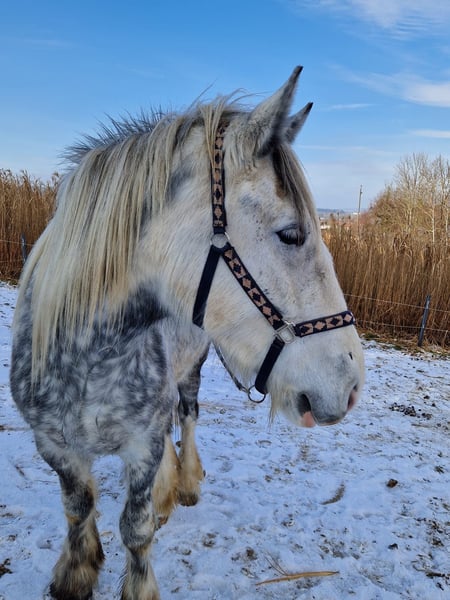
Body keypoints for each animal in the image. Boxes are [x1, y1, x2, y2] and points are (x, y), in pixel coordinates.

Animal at [10, 66, 364, 600]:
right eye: (291, 234)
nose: (351, 384)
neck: (87, 355)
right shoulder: (53, 445)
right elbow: (78, 506)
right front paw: (77, 569)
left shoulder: (143, 443)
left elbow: (134, 528)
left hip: (191, 371)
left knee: (189, 416)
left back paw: (184, 484)